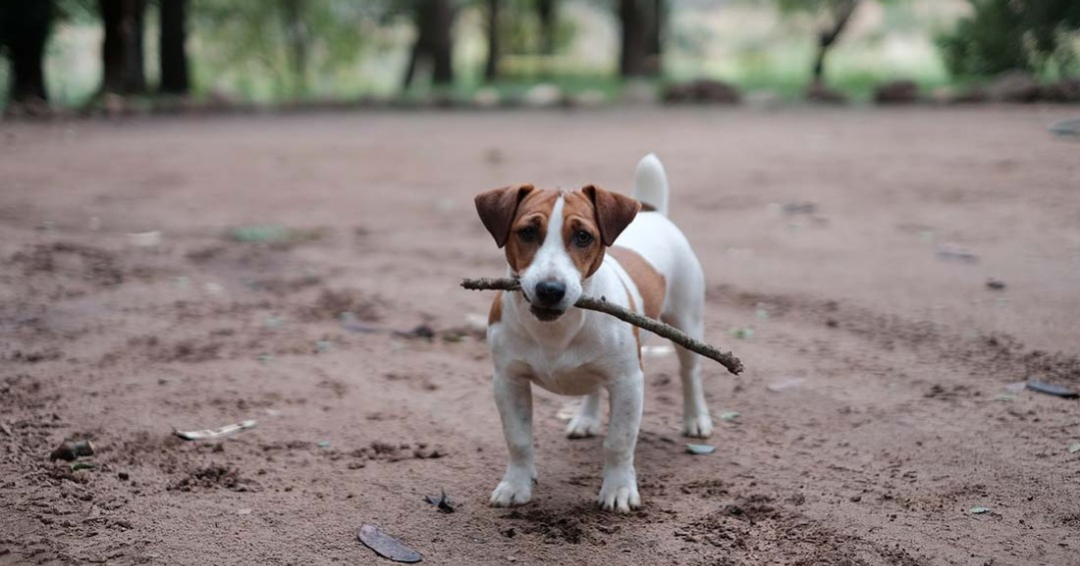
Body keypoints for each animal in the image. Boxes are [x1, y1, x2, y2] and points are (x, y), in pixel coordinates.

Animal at [473, 153, 708, 511]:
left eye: (583, 236)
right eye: (527, 232)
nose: (550, 289)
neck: (556, 330)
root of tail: (651, 211)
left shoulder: (628, 382)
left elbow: (619, 442)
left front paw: (619, 489)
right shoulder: (508, 381)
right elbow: (518, 439)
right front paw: (516, 485)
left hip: (686, 323)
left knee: (689, 372)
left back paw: (696, 419)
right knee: (593, 386)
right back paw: (585, 419)